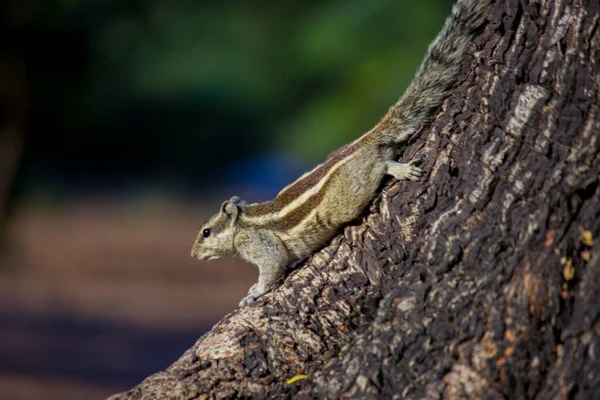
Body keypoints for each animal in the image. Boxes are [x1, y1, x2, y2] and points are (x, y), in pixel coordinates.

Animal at [191, 0, 492, 308]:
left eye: (206, 232)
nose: (193, 254)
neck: (243, 223)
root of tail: (364, 141)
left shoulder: (261, 244)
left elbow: (273, 265)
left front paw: (254, 292)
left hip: (346, 200)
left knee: (378, 168)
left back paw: (398, 169)